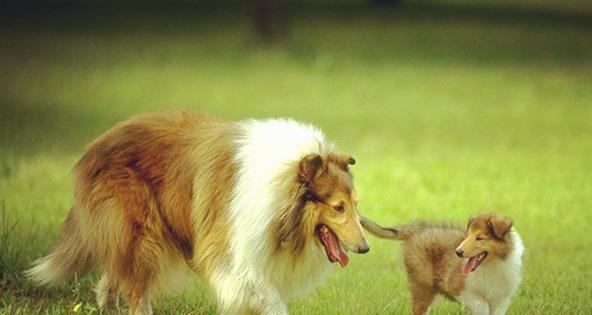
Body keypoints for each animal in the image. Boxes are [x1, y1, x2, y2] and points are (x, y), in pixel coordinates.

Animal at [28, 113, 370, 315]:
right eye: (338, 207)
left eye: (355, 204)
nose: (365, 248)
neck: (280, 193)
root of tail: (94, 147)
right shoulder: (231, 254)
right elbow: (267, 298)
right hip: (141, 231)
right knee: (135, 285)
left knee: (117, 271)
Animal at [360, 214, 524, 314]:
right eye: (468, 235)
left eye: (480, 237)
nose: (458, 252)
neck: (493, 265)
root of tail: (418, 230)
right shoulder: (458, 289)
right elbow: (481, 306)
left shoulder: (502, 299)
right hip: (423, 286)